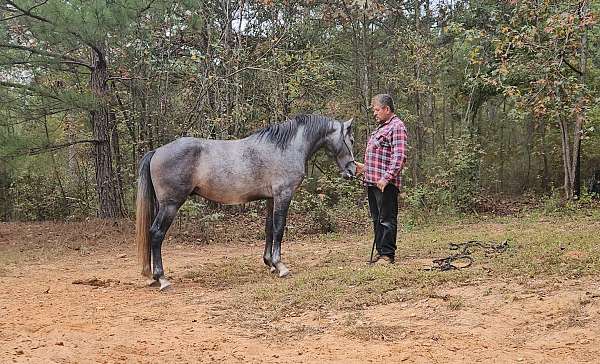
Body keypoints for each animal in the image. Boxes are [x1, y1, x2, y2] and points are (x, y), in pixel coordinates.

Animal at [136, 114, 356, 290]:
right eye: (351, 140)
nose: (352, 171)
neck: (285, 148)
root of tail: (157, 151)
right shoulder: (283, 195)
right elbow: (279, 229)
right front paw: (280, 266)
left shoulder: (271, 199)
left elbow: (269, 229)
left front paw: (270, 263)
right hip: (170, 205)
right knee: (156, 233)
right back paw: (162, 278)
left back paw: (153, 276)